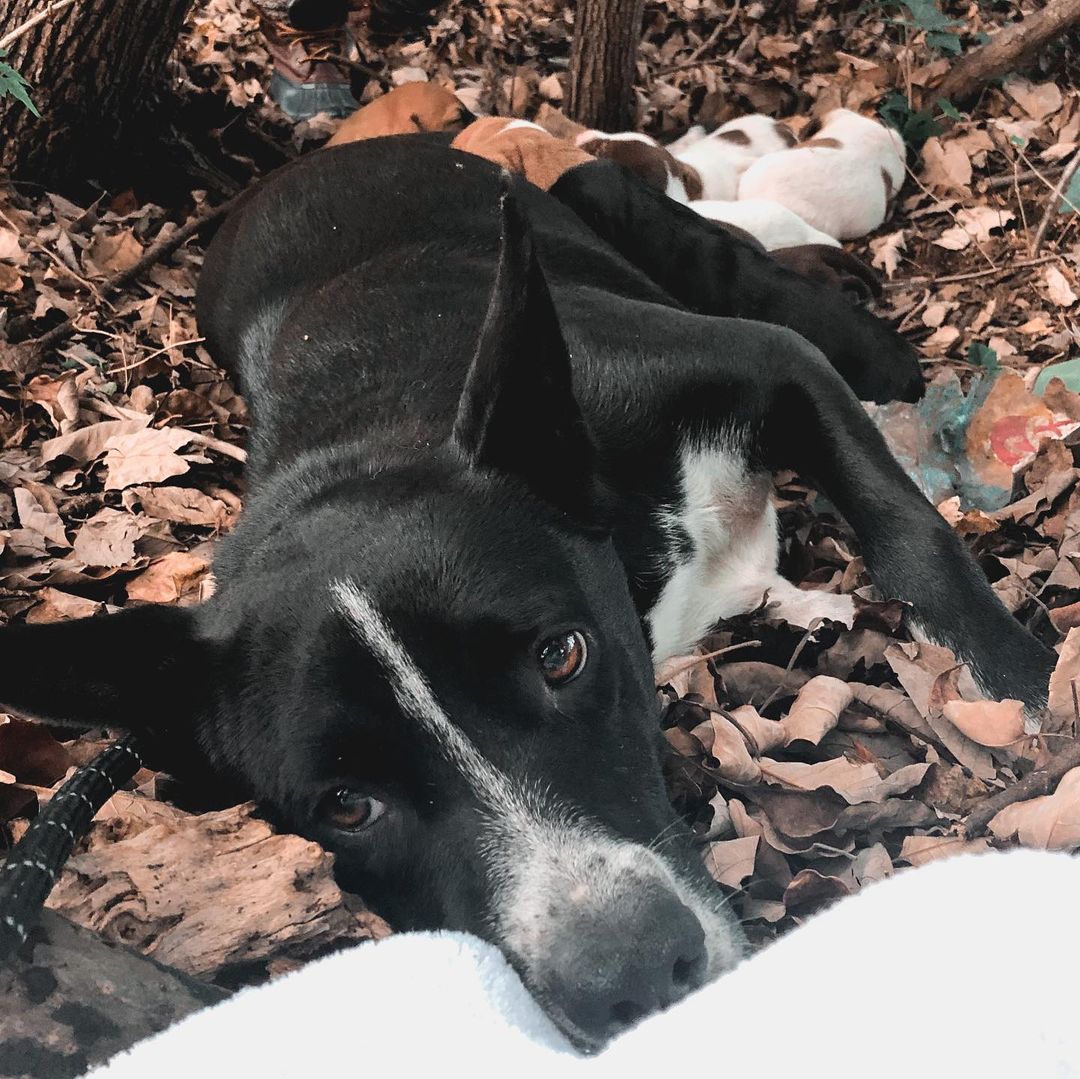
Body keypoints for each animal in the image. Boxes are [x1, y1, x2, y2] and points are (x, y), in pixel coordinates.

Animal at [0, 139, 1054, 1049]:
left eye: (562, 654)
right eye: (346, 805)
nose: (633, 973)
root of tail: (295, 166)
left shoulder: (763, 364)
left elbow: (910, 531)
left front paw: (1022, 685)